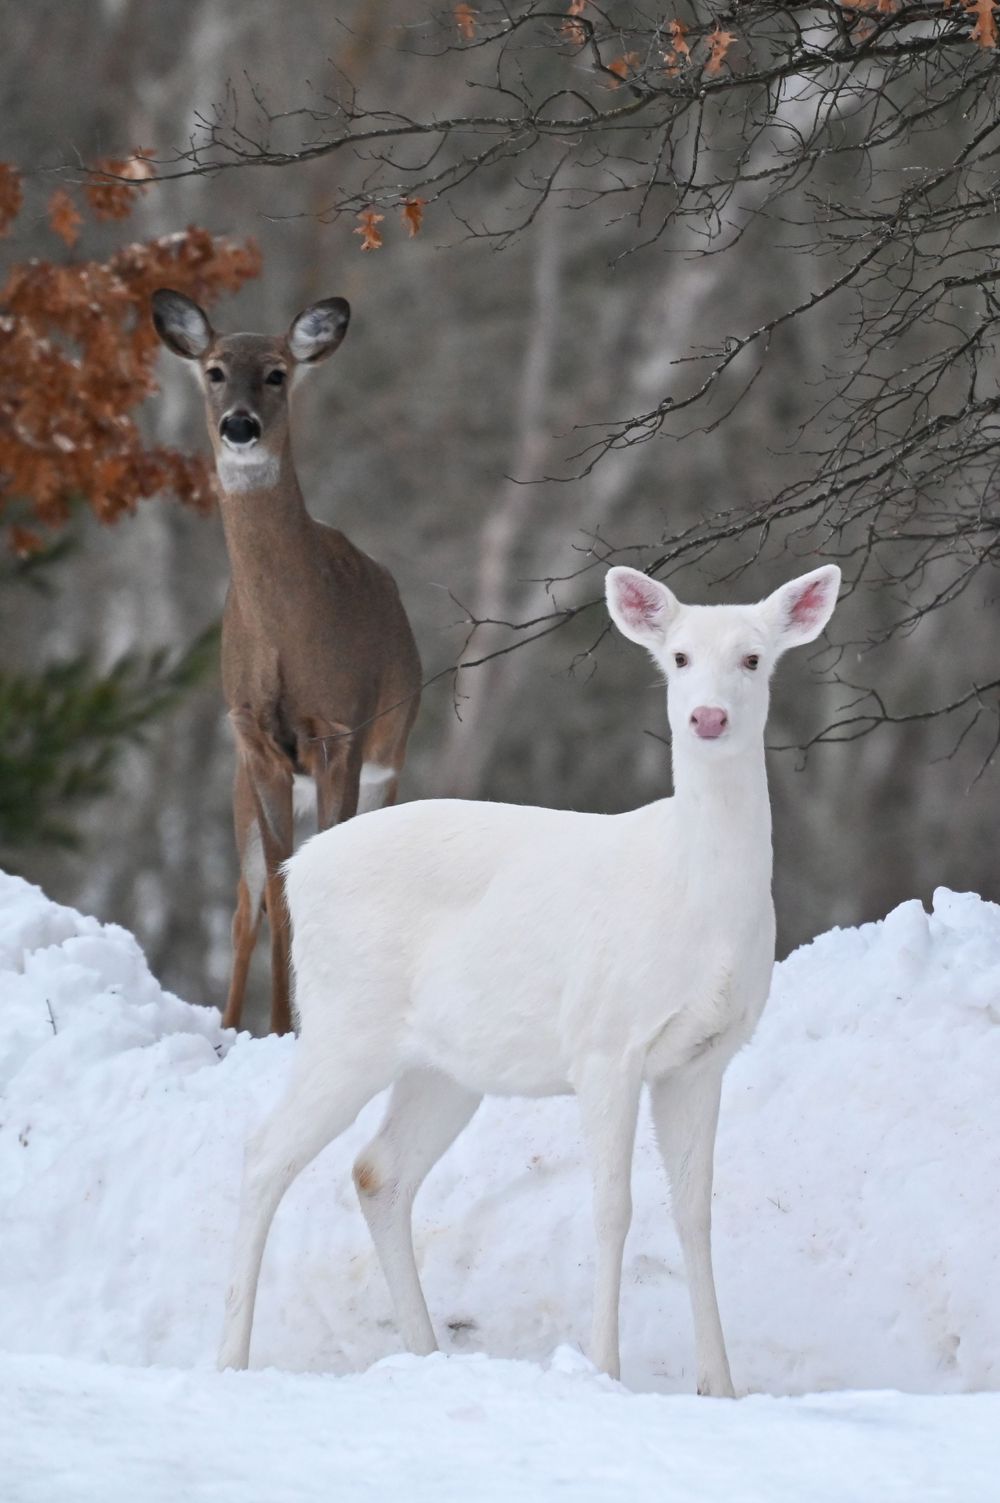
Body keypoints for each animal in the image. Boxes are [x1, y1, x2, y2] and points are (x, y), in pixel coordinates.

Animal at [152, 289, 421, 1036]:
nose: (239, 426)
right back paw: (230, 1027)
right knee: (246, 907)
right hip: (241, 791)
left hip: (387, 762)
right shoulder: (255, 740)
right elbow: (276, 893)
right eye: (214, 370)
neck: (285, 635)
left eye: (277, 373)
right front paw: (276, 1027)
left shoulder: (340, 730)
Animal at [217, 560, 841, 1392]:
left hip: (444, 1066)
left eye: (753, 658)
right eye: (677, 656)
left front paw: (720, 1385)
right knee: (263, 1153)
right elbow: (613, 1206)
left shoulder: (703, 1055)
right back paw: (230, 1357)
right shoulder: (605, 1043)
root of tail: (295, 872)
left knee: (378, 1170)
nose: (707, 717)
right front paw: (604, 1367)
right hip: (346, 1026)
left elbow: (695, 1210)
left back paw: (426, 1353)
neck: (691, 894)